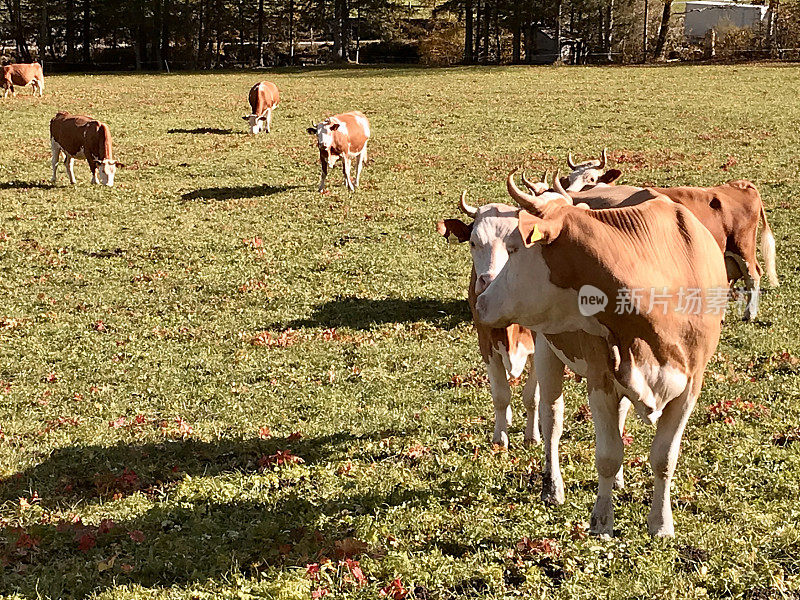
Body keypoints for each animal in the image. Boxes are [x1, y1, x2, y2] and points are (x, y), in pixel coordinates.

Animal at [438, 190, 544, 448]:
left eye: (515, 245)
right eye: (473, 242)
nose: (489, 280)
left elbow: (532, 396)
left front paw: (532, 435)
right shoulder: (486, 344)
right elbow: (500, 395)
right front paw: (500, 437)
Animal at [476, 171, 732, 536]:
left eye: (514, 249)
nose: (481, 300)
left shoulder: (690, 384)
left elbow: (664, 458)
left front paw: (661, 523)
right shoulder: (601, 380)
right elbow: (608, 455)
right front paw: (601, 520)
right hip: (547, 347)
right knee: (551, 418)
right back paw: (552, 486)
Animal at [560, 157, 780, 322]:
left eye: (591, 178)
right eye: (570, 178)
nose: (568, 192)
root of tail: (740, 185)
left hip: (743, 247)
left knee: (753, 275)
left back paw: (749, 314)